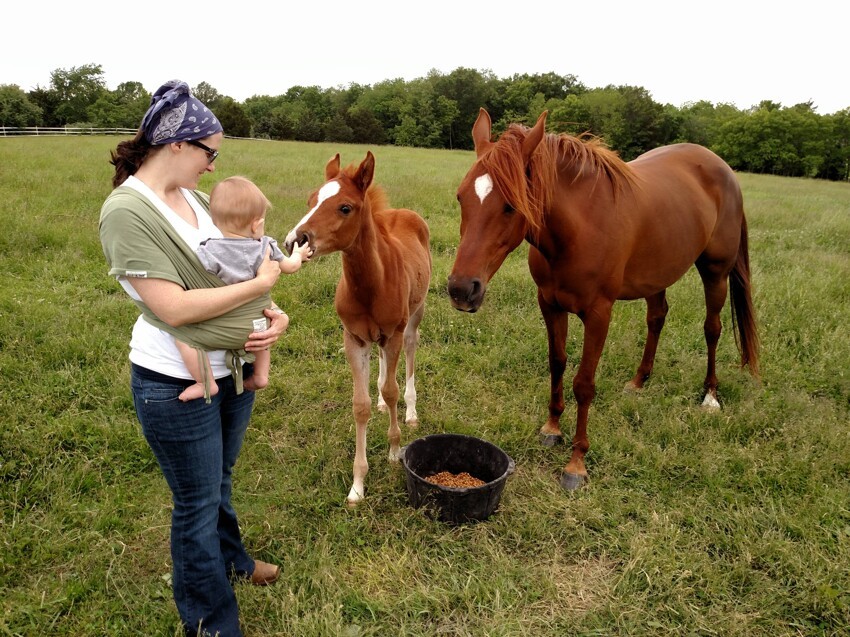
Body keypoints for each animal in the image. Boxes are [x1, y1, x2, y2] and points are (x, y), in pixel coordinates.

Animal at [284, 152, 430, 504]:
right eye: (311, 200)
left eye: (345, 207)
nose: (296, 240)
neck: (370, 284)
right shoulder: (354, 339)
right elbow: (360, 405)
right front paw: (357, 485)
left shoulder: (392, 334)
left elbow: (392, 391)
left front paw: (394, 450)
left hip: (414, 317)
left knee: (410, 351)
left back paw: (411, 412)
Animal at [448, 109, 760, 490]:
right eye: (461, 197)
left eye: (510, 206)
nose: (461, 289)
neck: (578, 229)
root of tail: (722, 168)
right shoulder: (550, 304)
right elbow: (557, 363)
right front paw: (552, 428)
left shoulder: (599, 314)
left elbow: (584, 383)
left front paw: (576, 464)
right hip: (657, 274)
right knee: (657, 318)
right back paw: (639, 381)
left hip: (715, 272)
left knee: (712, 328)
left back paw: (710, 395)